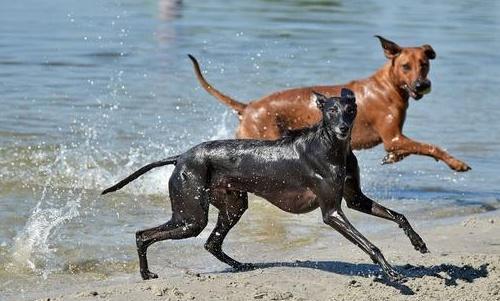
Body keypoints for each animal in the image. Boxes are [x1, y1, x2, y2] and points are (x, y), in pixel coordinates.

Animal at [101, 88, 426, 280]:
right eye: (330, 111)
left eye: (350, 109)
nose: (344, 129)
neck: (332, 146)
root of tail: (181, 156)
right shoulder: (332, 212)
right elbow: (371, 245)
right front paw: (392, 273)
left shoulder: (355, 199)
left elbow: (399, 216)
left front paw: (418, 242)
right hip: (190, 217)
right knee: (143, 235)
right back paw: (146, 274)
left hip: (231, 206)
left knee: (211, 242)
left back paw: (241, 266)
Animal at [189, 35, 470, 171]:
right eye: (405, 66)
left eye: (424, 64)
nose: (423, 85)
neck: (387, 85)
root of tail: (248, 107)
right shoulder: (393, 137)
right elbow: (431, 147)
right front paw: (456, 163)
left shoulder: (395, 139)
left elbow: (408, 150)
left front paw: (393, 158)